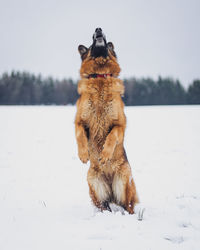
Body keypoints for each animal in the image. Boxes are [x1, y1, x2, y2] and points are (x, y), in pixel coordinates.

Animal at [74, 27, 138, 215]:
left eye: (108, 46)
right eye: (91, 41)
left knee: (128, 206)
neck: (100, 75)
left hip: (124, 183)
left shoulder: (120, 124)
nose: (98, 29)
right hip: (94, 183)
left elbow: (111, 136)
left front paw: (105, 154)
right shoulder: (79, 121)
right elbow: (80, 135)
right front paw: (83, 154)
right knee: (104, 205)